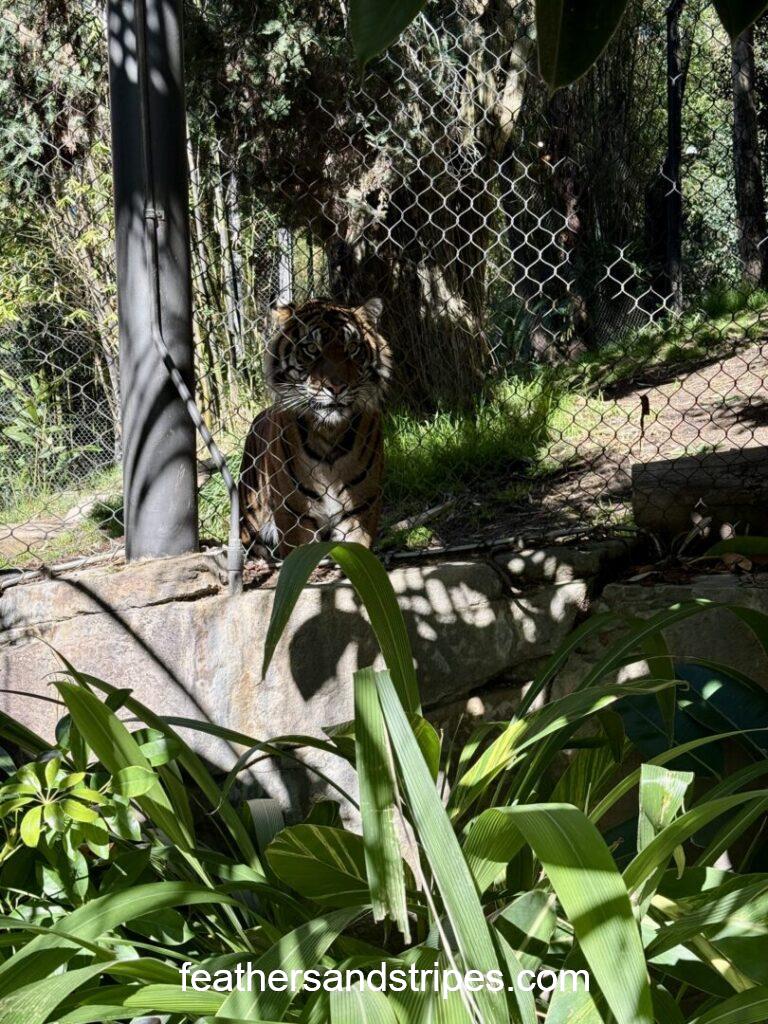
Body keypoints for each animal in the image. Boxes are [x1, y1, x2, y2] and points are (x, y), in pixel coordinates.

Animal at [238, 297, 393, 558]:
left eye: (353, 347)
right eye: (311, 348)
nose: (337, 387)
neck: (329, 433)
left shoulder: (359, 510)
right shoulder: (296, 516)